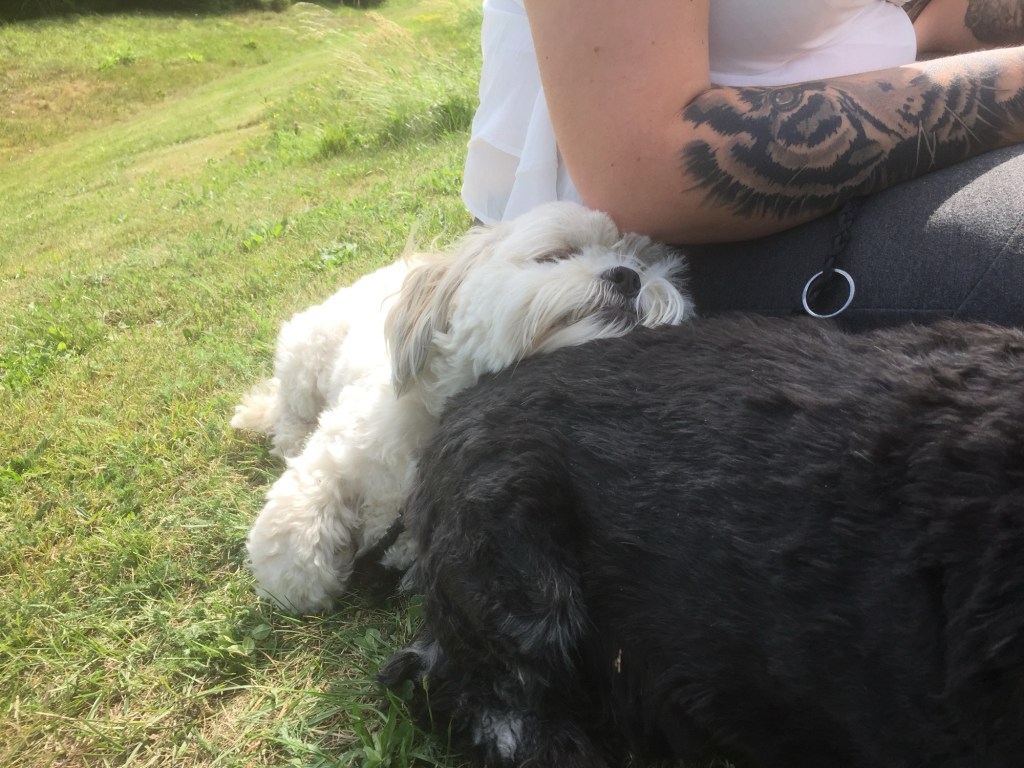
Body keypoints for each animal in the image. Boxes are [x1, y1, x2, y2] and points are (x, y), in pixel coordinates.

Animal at [231, 201, 693, 614]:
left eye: (642, 263)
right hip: (306, 358)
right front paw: (304, 580)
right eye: (557, 254)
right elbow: (293, 543)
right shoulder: (338, 455)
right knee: (290, 411)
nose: (628, 276)